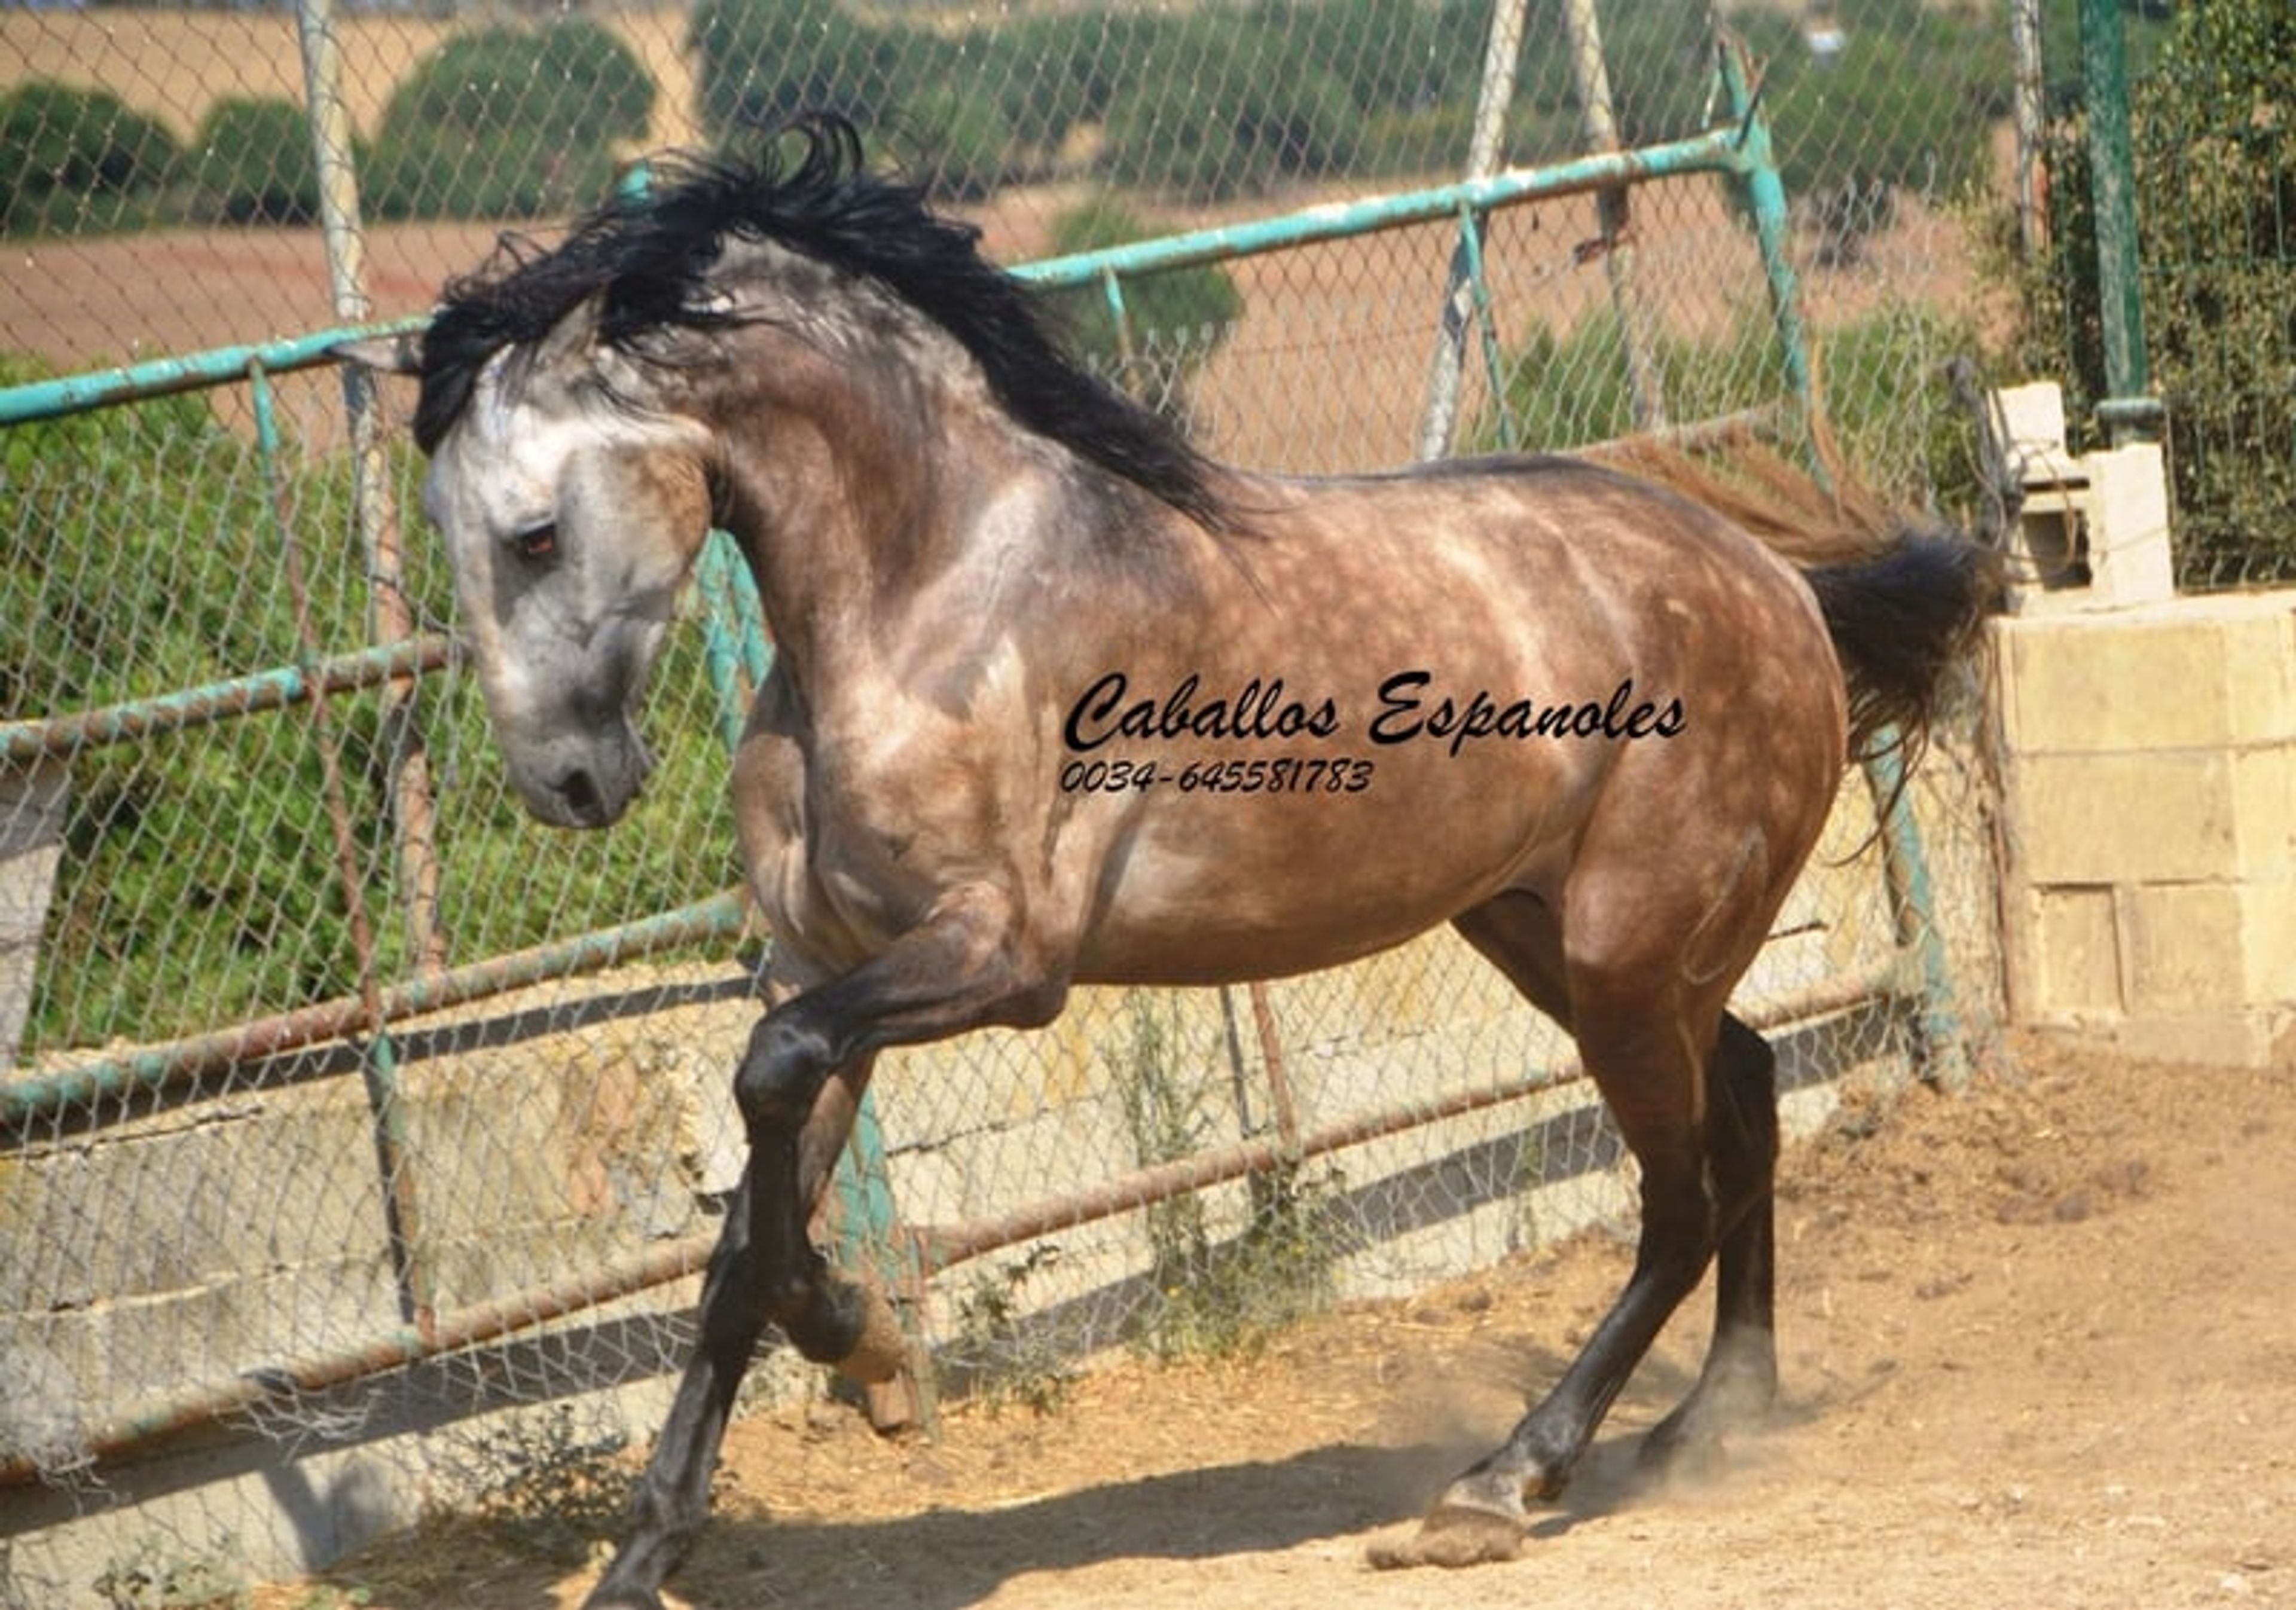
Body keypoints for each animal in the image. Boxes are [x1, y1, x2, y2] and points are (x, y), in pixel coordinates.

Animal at [341, 114, 1996, 1607]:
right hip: (1556, 936)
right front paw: (659, 1541)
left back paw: (1500, 1483)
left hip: (1623, 952)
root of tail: (1778, 581)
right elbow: (744, 1223)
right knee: (1748, 1096)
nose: (567, 781)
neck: (939, 586)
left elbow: (768, 1095)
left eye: (534, 531)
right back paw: (1711, 1422)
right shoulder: (823, 959)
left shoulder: (999, 959)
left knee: (1676, 1189)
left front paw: (861, 1340)